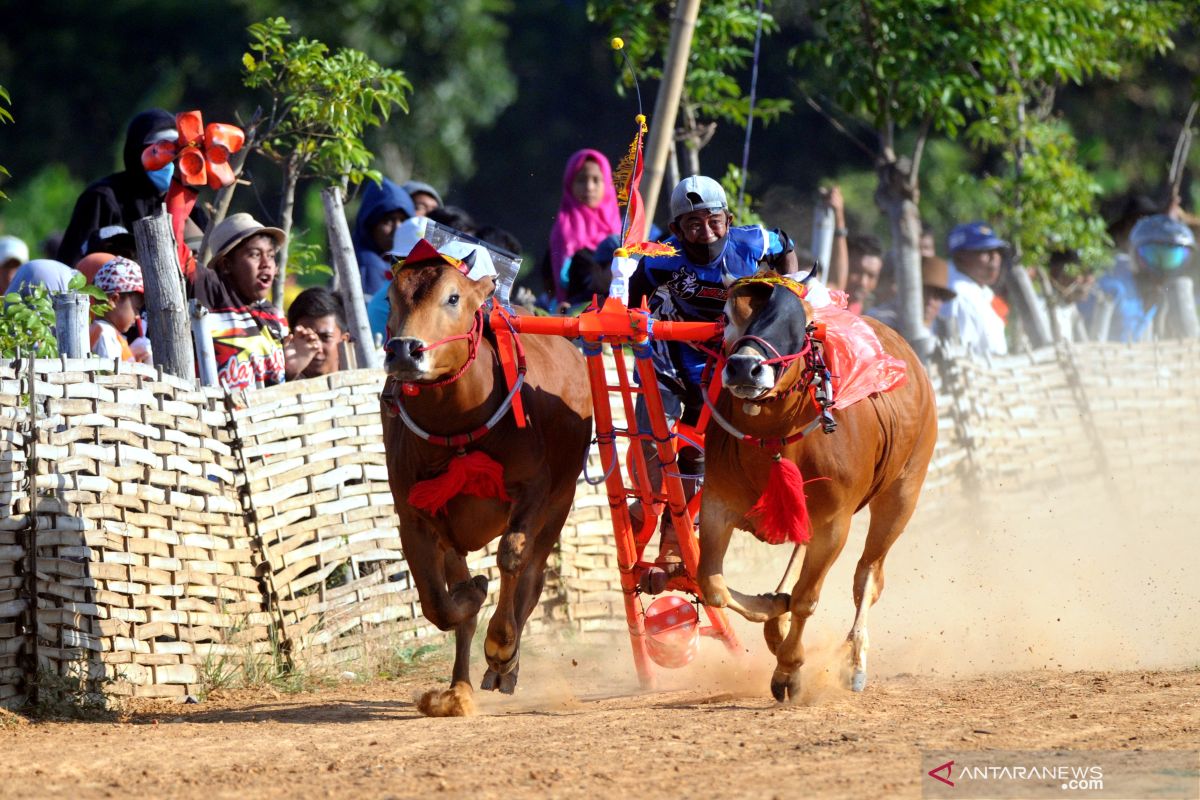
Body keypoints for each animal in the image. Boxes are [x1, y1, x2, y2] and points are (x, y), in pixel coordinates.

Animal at [379, 247, 590, 714]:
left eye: (453, 297)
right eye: (391, 298)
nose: (404, 350)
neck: (460, 425)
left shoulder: (534, 493)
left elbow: (512, 559)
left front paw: (501, 647)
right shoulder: (415, 516)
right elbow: (438, 603)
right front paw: (473, 594)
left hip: (559, 504)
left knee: (532, 579)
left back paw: (504, 666)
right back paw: (459, 688)